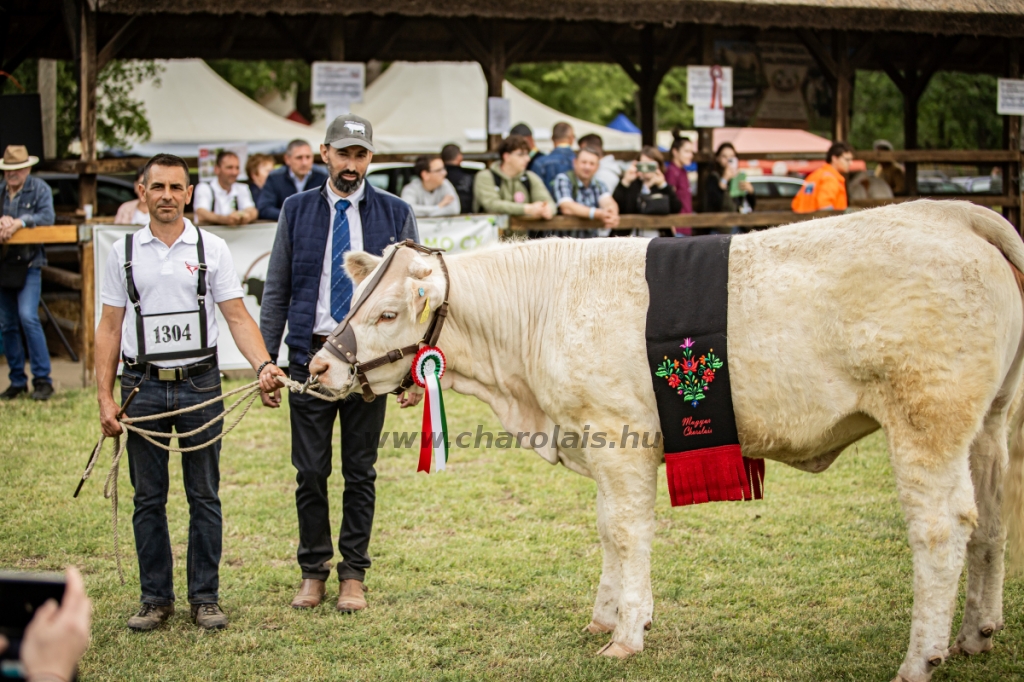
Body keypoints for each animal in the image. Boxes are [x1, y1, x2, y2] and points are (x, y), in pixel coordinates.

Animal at [307, 199, 1024, 675]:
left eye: (388, 313)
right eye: (351, 298)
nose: (317, 367)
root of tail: (952, 214)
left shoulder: (619, 436)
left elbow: (626, 532)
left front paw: (625, 634)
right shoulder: (599, 444)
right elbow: (607, 529)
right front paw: (613, 614)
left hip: (925, 420)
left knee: (941, 530)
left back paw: (921, 658)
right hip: (989, 423)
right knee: (990, 522)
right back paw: (976, 633)